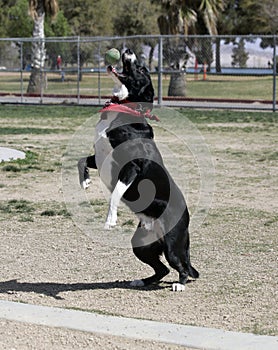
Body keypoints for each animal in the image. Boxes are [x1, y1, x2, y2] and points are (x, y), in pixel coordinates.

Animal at [78, 48, 199, 290]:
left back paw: (180, 283)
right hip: (141, 244)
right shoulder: (100, 158)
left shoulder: (131, 168)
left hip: (172, 244)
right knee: (162, 269)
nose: (128, 50)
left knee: (181, 266)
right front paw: (84, 180)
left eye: (142, 69)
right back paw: (141, 281)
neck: (124, 108)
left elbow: (115, 194)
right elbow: (81, 160)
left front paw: (110, 220)